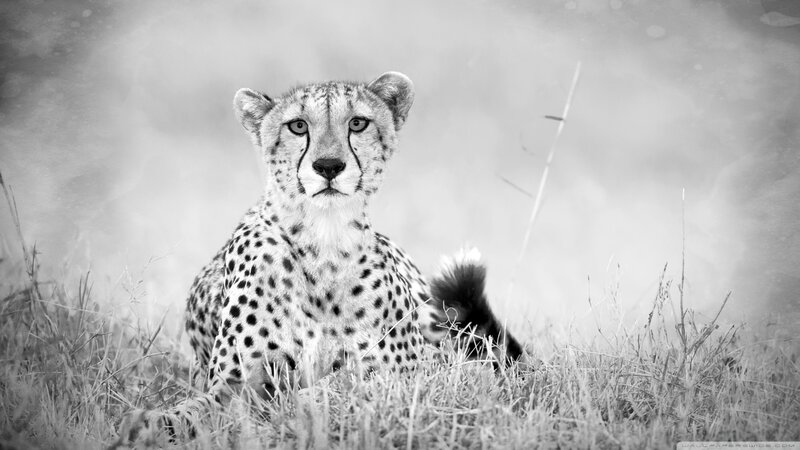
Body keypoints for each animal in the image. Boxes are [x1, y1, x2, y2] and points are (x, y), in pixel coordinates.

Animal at [117, 72, 525, 444]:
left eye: (357, 123)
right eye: (298, 126)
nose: (328, 166)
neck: (324, 239)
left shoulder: (404, 373)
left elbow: (337, 386)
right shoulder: (234, 383)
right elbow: (195, 410)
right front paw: (148, 425)